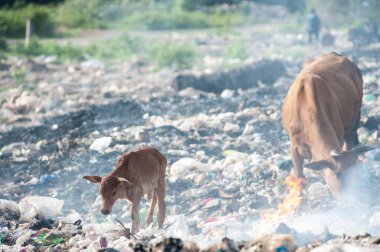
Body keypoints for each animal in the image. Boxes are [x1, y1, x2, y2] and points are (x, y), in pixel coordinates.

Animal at [280, 52, 372, 200]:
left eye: (355, 174)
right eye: (339, 174)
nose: (352, 197)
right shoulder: (294, 146)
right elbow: (299, 173)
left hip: (357, 114)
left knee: (350, 138)